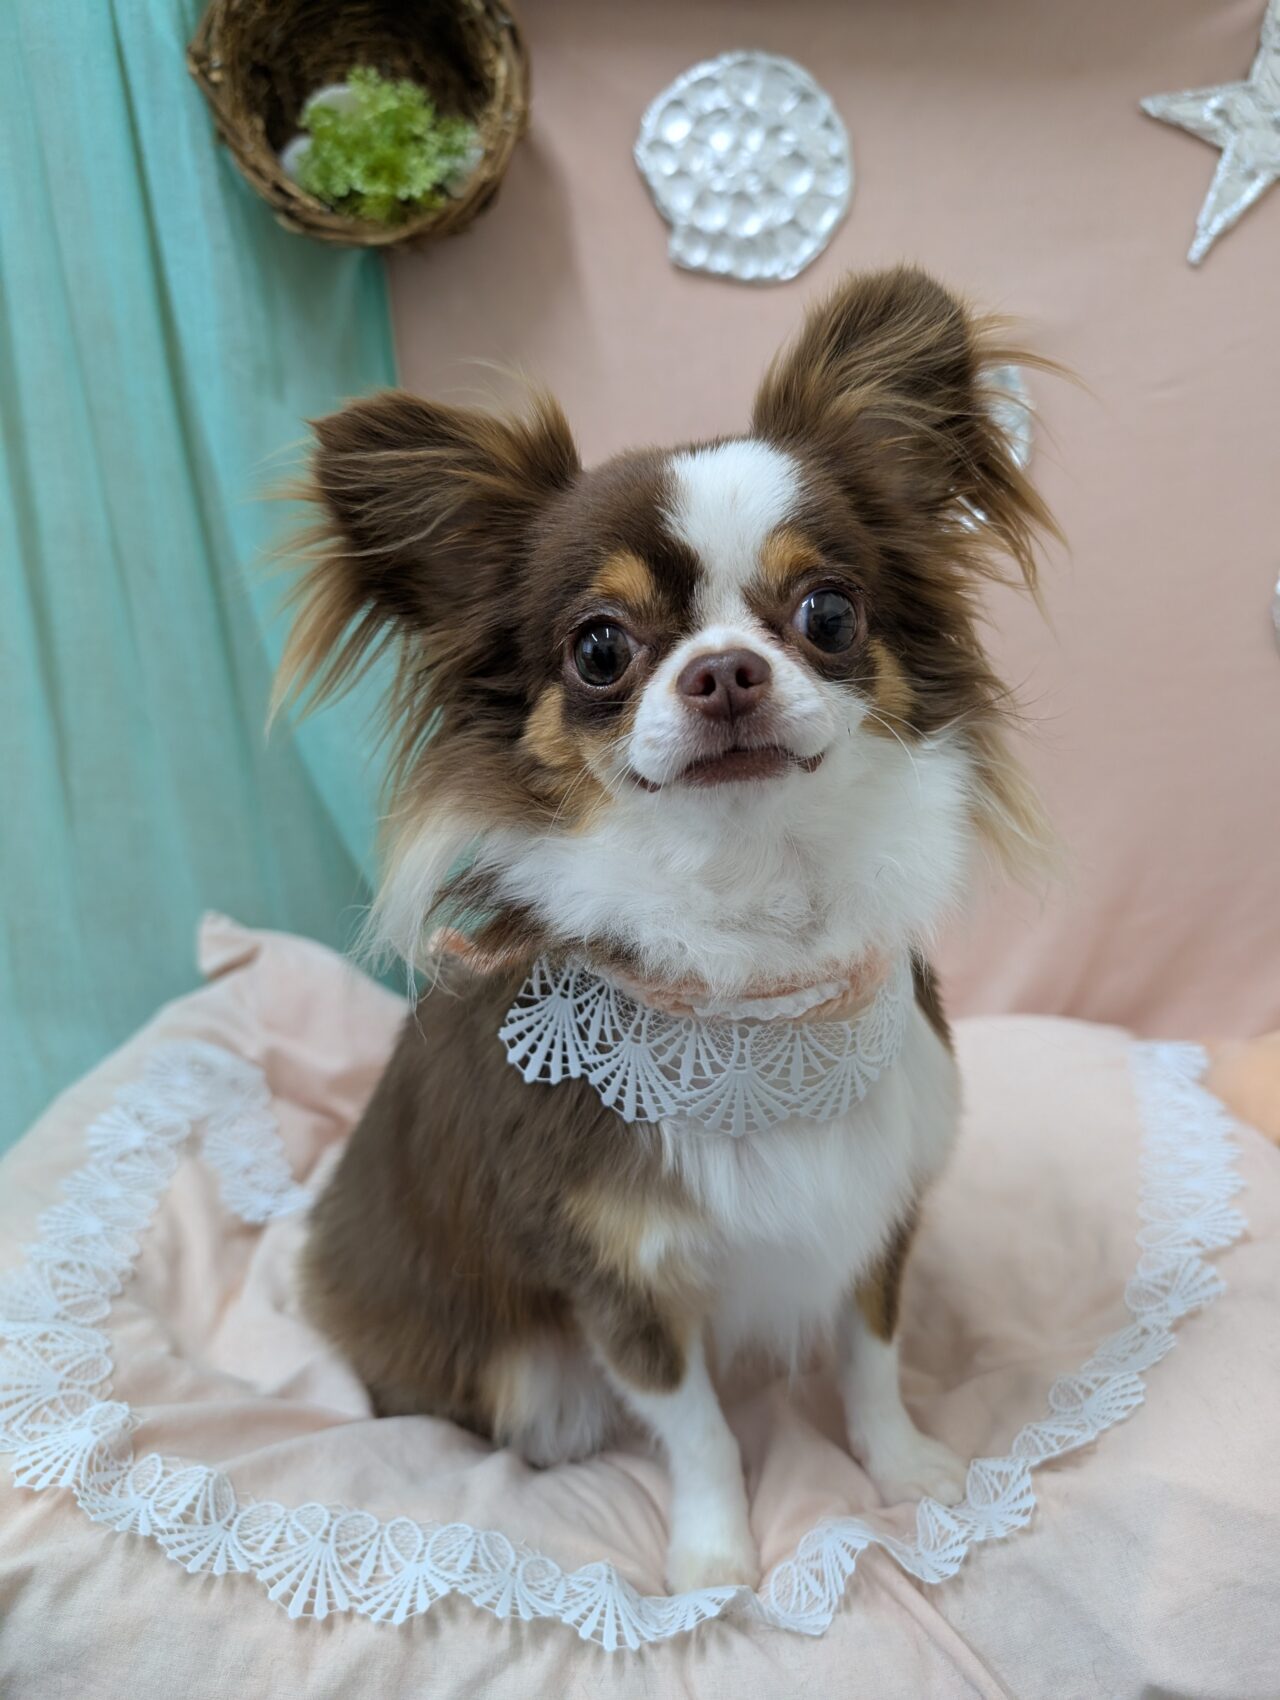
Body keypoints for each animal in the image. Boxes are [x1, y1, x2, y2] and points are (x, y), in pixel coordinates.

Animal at [277, 267, 1055, 1593]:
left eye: (828, 613)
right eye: (599, 646)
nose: (724, 670)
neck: (748, 982)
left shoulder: (875, 1206)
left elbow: (871, 1353)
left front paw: (902, 1468)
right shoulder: (613, 1275)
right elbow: (693, 1428)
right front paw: (712, 1556)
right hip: (517, 1373)